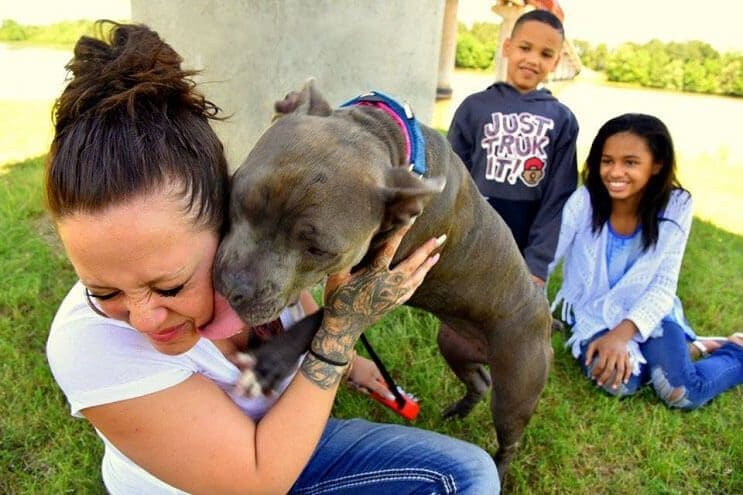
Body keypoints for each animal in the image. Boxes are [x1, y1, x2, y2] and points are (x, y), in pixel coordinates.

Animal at [214, 80, 552, 476]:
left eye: (318, 249)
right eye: (239, 194)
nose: (234, 287)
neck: (383, 135)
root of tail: (544, 309)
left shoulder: (374, 281)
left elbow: (326, 316)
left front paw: (268, 363)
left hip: (516, 386)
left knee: (509, 433)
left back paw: (499, 469)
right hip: (454, 345)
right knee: (479, 380)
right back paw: (460, 410)